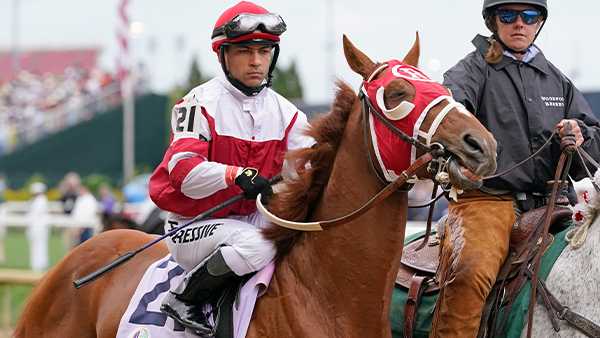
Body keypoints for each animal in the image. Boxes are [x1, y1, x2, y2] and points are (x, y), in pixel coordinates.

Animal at [15, 34, 496, 338]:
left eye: (440, 85)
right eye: (396, 94)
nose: (482, 145)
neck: (327, 298)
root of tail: (73, 264)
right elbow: (186, 161)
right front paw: (251, 181)